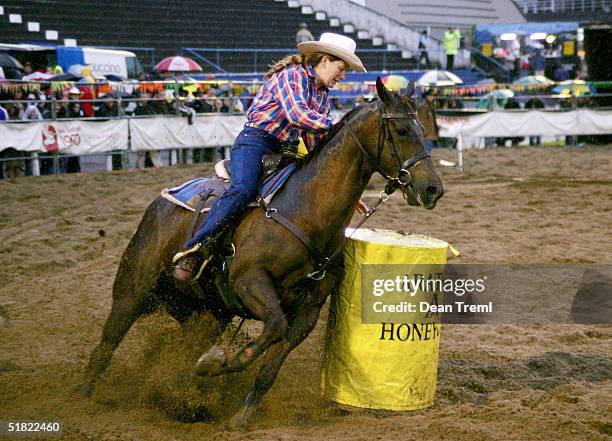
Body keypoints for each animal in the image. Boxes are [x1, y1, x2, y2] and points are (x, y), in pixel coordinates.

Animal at [82, 77, 444, 428]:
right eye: (401, 130)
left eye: (422, 127)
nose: (433, 189)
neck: (303, 211)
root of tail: (162, 202)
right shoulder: (249, 280)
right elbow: (272, 327)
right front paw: (217, 363)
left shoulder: (308, 311)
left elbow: (271, 363)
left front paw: (241, 414)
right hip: (131, 293)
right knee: (104, 347)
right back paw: (83, 399)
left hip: (206, 312)